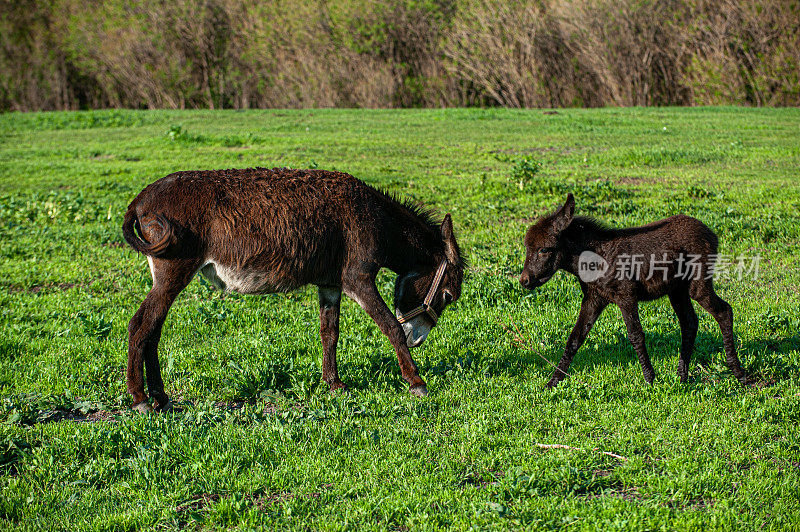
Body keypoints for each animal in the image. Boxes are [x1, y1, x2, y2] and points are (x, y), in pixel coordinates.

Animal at [520, 193, 752, 388]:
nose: (524, 280)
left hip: (698, 285)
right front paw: (553, 382)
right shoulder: (594, 299)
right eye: (528, 248)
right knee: (689, 323)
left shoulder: (626, 297)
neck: (595, 260)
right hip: (677, 291)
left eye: (544, 249)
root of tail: (710, 232)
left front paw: (650, 379)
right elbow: (574, 339)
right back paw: (682, 376)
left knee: (724, 311)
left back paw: (738, 372)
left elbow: (635, 335)